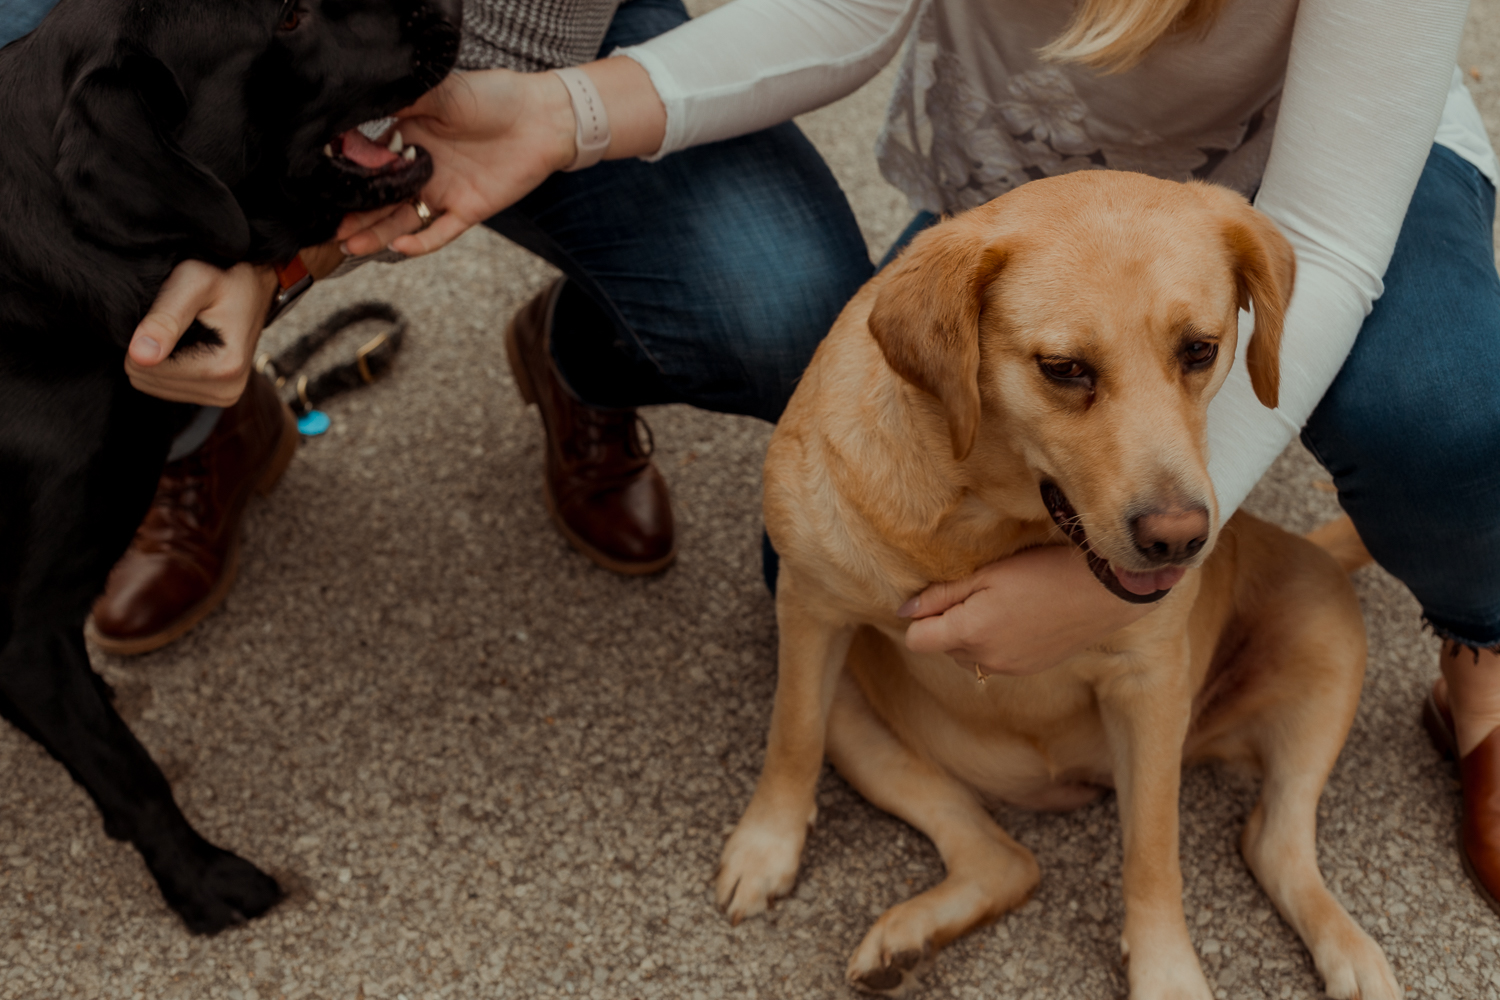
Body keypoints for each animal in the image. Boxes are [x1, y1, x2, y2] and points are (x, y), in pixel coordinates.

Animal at [720, 173, 1398, 1000]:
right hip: (857, 710)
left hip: (1321, 640)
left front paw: (1166, 970)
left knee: (1275, 842)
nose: (1180, 538)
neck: (977, 518)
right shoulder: (809, 612)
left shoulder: (1149, 690)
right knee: (1002, 858)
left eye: (1200, 350)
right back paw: (910, 940)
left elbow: (1153, 853)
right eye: (1065, 368)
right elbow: (790, 738)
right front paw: (766, 846)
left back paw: (1351, 954)